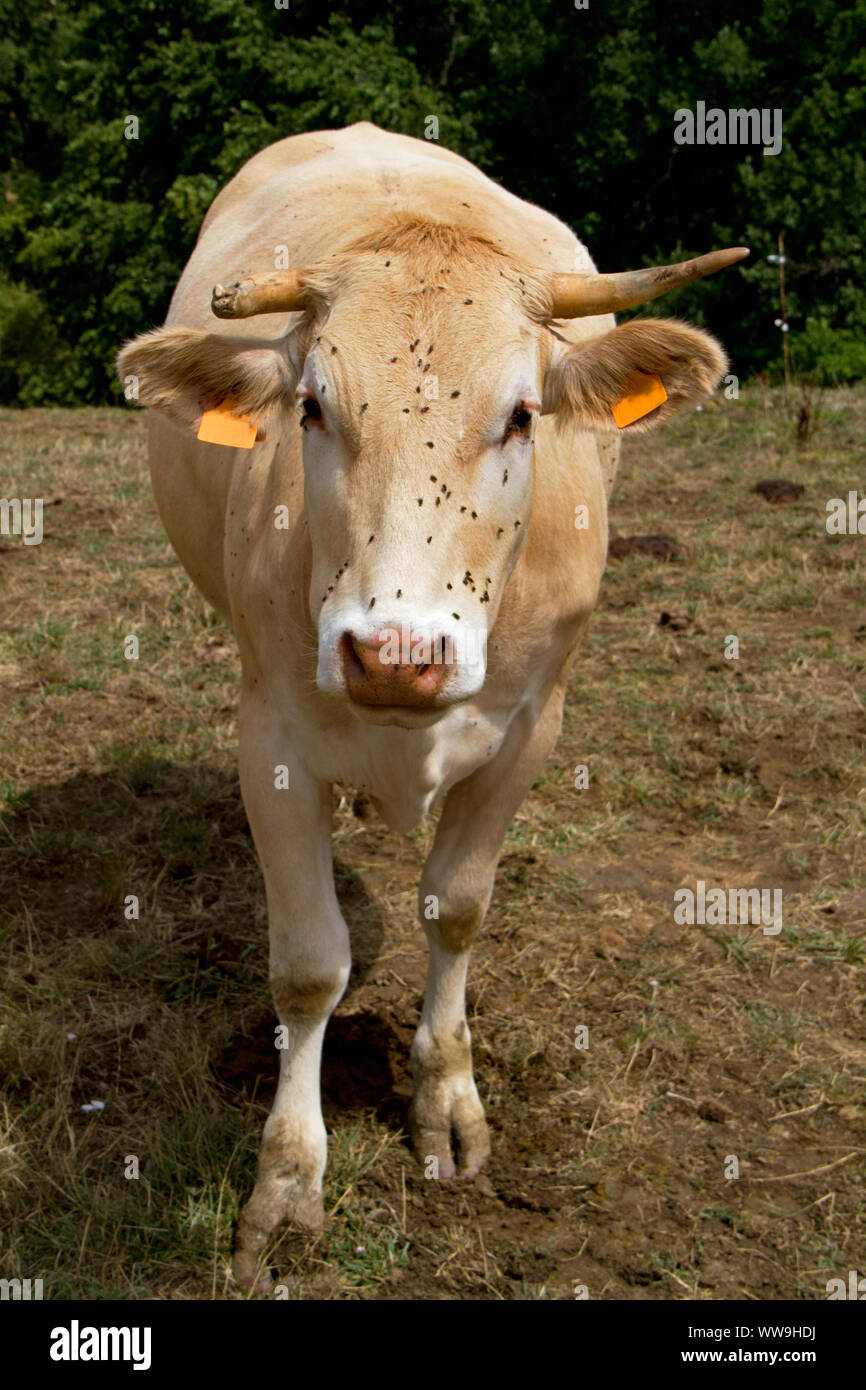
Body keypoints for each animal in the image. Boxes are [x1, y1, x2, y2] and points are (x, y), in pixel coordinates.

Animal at [118, 122, 750, 1289]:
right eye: (312, 406)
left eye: (523, 414)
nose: (393, 656)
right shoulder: (269, 738)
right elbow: (309, 965)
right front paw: (288, 1187)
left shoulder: (530, 728)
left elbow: (455, 908)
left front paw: (446, 1102)